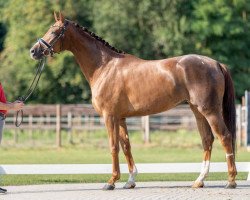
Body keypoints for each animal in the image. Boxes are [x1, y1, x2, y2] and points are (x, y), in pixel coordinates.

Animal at [30, 11, 237, 190]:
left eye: (54, 31)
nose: (33, 51)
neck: (105, 66)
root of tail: (216, 63)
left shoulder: (109, 117)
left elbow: (113, 146)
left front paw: (111, 181)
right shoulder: (120, 118)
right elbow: (126, 146)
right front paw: (130, 181)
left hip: (210, 111)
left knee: (225, 137)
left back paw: (231, 180)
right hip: (197, 111)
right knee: (207, 140)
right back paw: (199, 181)